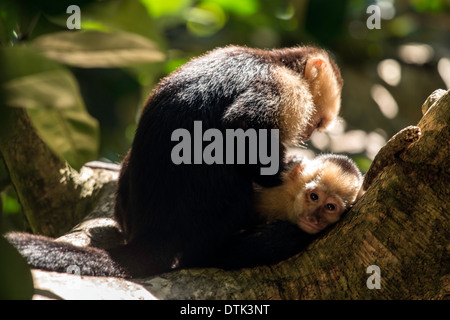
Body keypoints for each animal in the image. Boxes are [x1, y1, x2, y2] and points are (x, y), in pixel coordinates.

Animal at [7, 44, 342, 278]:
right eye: (315, 122)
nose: (308, 134)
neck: (277, 61)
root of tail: (152, 235)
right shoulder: (285, 88)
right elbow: (244, 128)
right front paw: (283, 171)